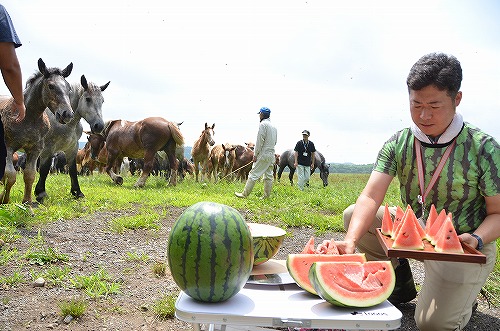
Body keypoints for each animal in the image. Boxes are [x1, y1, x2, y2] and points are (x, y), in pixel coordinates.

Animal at [0, 58, 73, 209]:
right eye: (51, 86)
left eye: (68, 87)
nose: (67, 114)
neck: (28, 117)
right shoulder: (9, 147)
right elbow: (10, 175)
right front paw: (4, 199)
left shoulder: (35, 149)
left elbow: (30, 175)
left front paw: (27, 202)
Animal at [34, 75, 110, 204]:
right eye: (88, 99)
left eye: (102, 101)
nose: (99, 126)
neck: (66, 124)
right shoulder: (48, 148)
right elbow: (44, 169)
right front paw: (40, 193)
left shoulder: (73, 148)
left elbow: (73, 170)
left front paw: (77, 192)